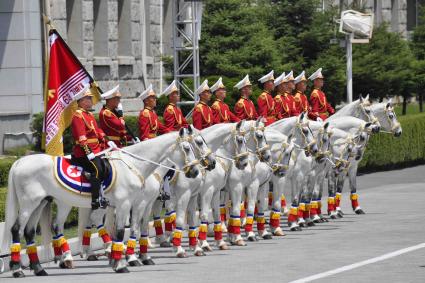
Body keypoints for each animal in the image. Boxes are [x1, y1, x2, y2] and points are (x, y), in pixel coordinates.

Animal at [0, 128, 200, 278]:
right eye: (187, 148)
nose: (196, 171)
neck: (132, 165)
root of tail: (19, 162)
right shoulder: (126, 204)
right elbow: (120, 231)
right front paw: (121, 263)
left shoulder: (128, 205)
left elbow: (128, 229)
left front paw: (120, 257)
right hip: (29, 204)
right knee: (16, 229)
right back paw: (18, 269)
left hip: (40, 203)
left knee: (30, 232)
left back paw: (39, 268)